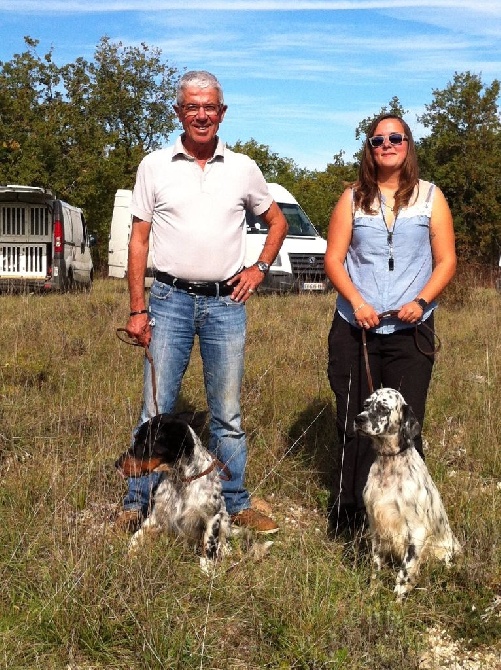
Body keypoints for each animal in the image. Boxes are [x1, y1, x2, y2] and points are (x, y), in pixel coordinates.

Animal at [114, 414, 229, 572]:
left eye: (144, 442)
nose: (116, 464)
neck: (181, 480)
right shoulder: (156, 516)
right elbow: (135, 538)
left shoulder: (212, 517)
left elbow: (209, 548)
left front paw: (207, 571)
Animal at [354, 388, 458, 604]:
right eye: (366, 404)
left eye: (383, 407)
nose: (358, 419)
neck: (390, 463)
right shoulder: (376, 526)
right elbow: (375, 567)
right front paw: (372, 594)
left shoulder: (416, 532)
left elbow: (404, 573)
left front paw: (396, 603)